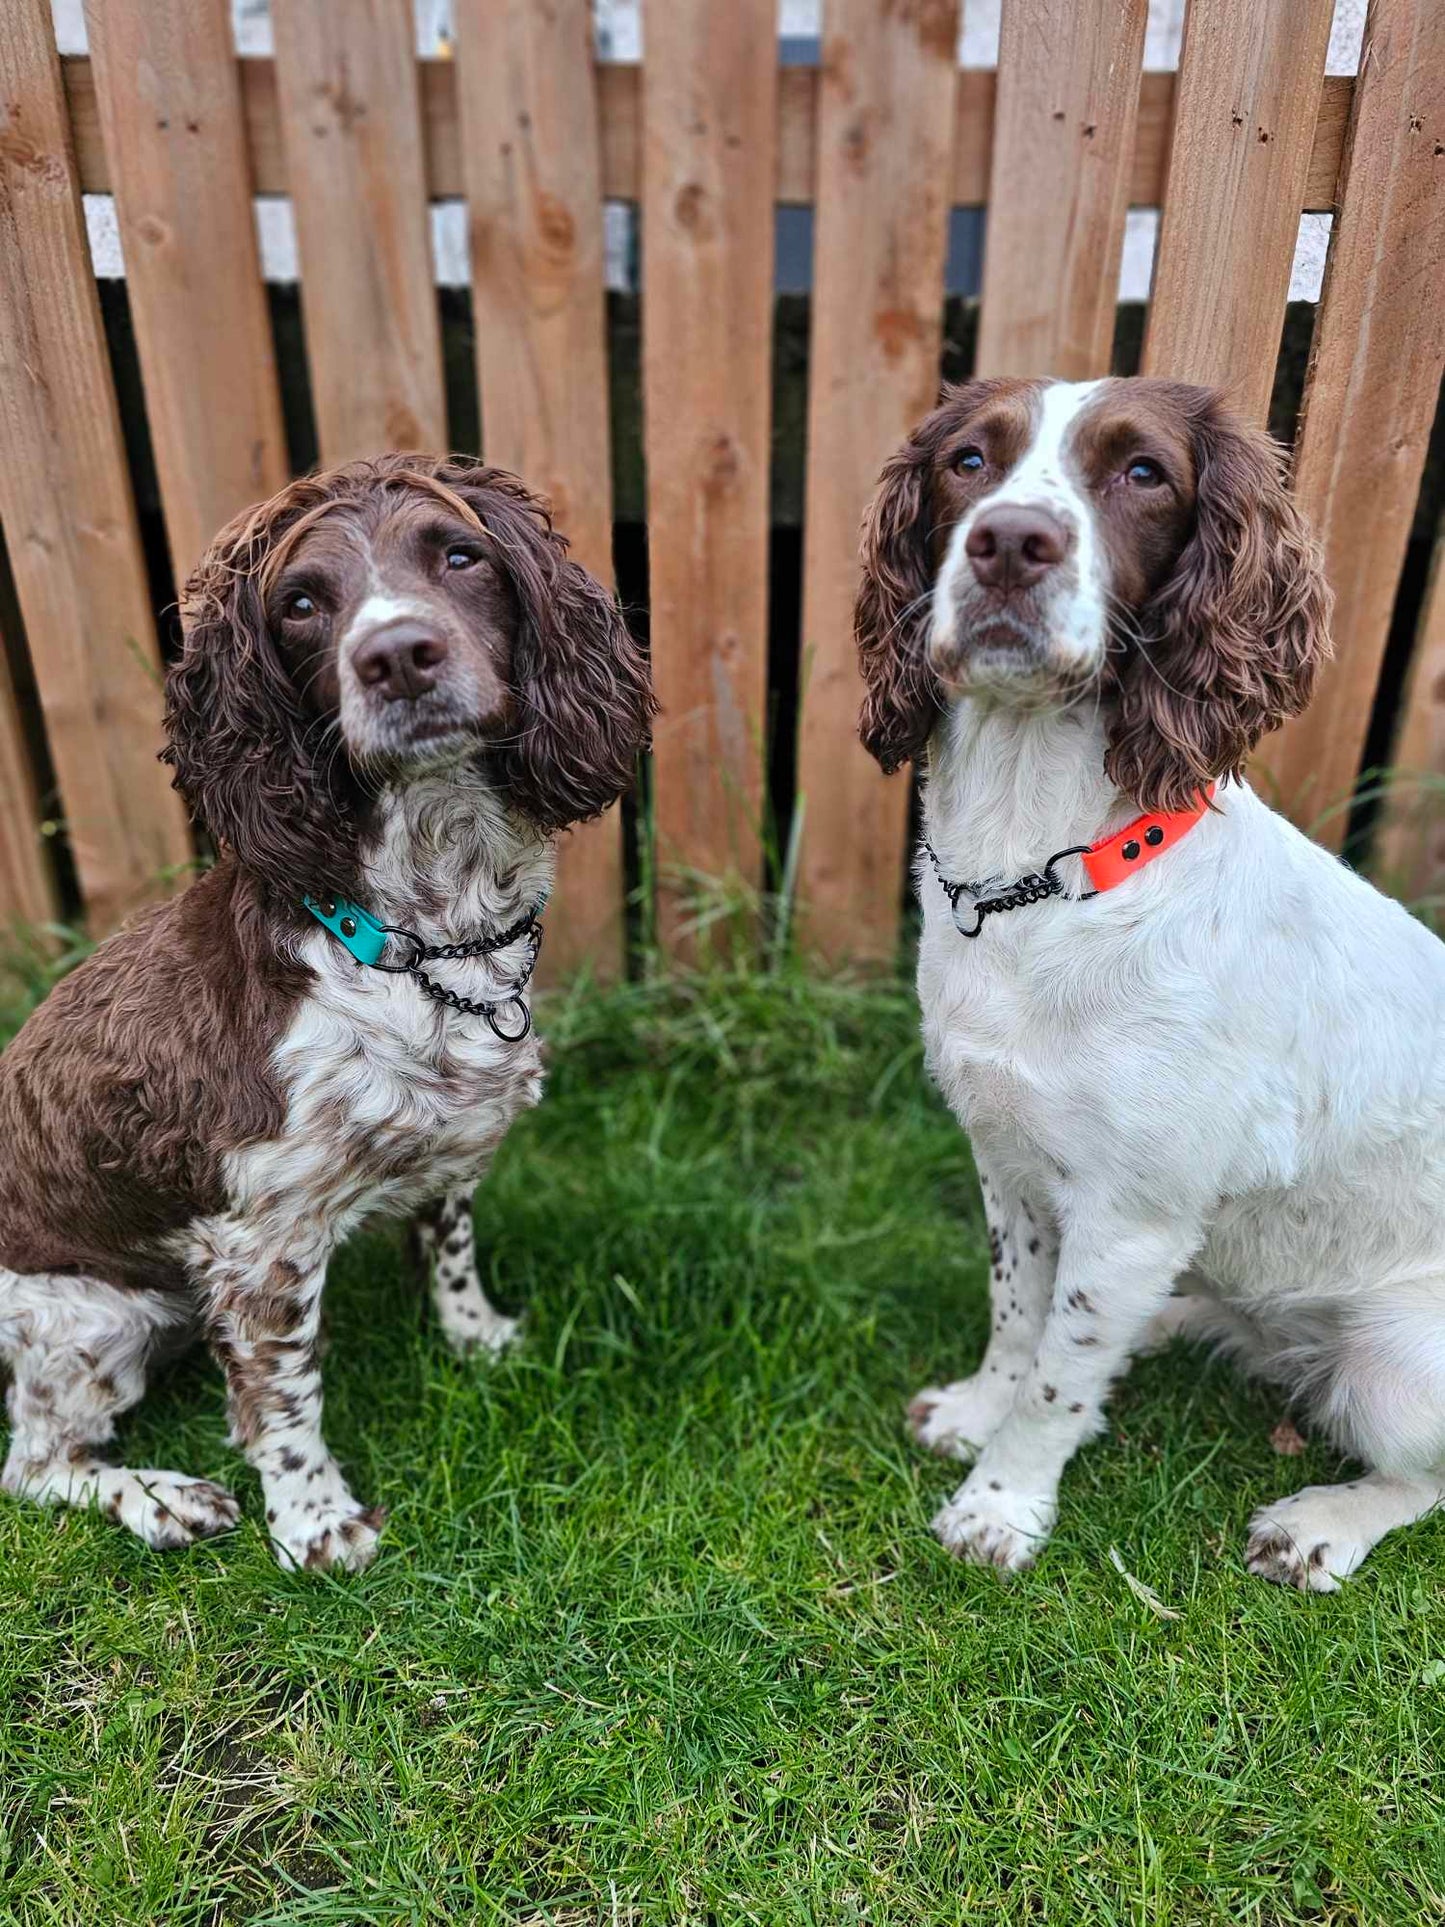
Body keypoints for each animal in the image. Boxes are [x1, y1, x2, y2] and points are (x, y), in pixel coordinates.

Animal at [0, 458, 655, 1572]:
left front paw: (477, 1336)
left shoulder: (448, 1147)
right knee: (36, 1463)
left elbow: (450, 1247)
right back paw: (162, 1499)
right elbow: (283, 1395)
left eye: (460, 554)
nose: (396, 655)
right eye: (301, 604)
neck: (421, 936)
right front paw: (314, 1521)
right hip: (86, 1318)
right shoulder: (259, 1241)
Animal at [867, 379, 1445, 1595]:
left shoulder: (1130, 1211)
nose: (1008, 543)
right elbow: (1018, 1318)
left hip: (1397, 1365)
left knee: (1417, 1475)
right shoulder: (1010, 1163)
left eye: (1143, 474)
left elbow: (1053, 1379)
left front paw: (997, 1507)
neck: (1047, 876)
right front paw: (975, 1411)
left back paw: (1320, 1522)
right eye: (966, 459)